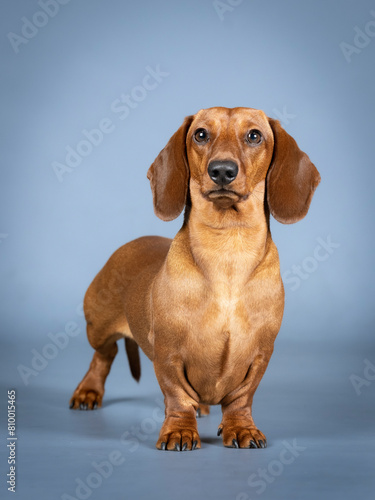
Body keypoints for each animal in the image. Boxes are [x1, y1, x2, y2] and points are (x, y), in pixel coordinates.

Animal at [70, 107, 320, 452]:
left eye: (254, 136)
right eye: (200, 134)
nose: (222, 171)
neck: (227, 248)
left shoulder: (261, 354)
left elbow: (241, 398)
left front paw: (241, 427)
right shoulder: (168, 353)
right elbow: (177, 396)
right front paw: (179, 431)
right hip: (98, 327)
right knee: (103, 356)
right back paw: (88, 391)